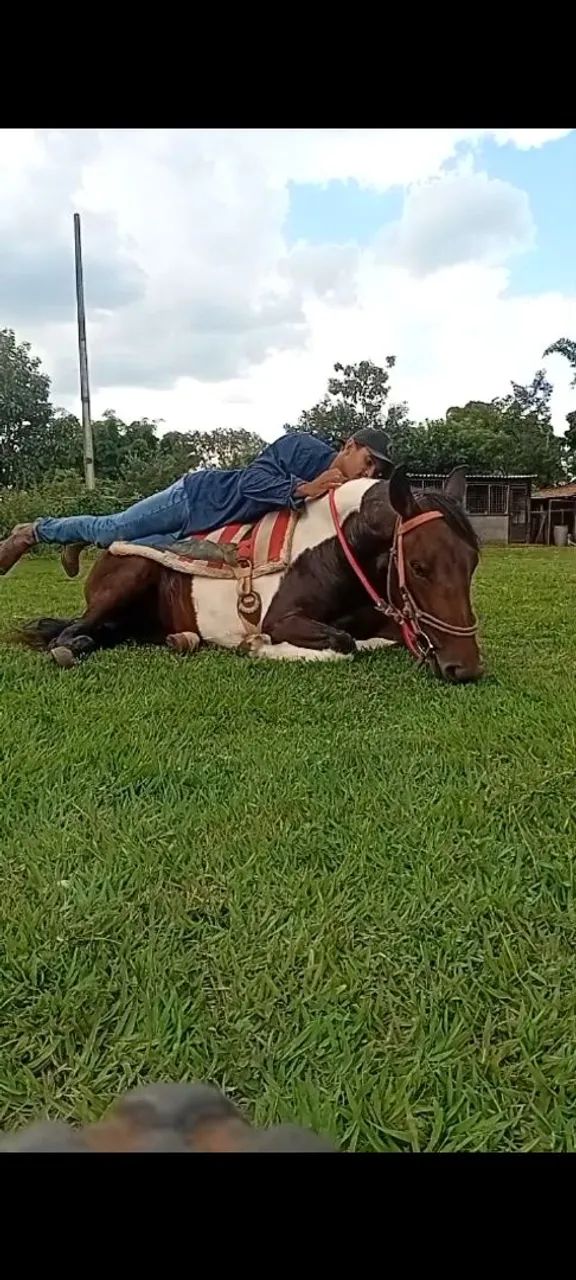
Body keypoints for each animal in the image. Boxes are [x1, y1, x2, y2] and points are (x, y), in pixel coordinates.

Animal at [14, 465, 483, 682]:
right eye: (419, 566)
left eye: (473, 562)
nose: (466, 668)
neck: (337, 549)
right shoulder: (282, 619)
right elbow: (343, 642)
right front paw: (256, 646)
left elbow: (376, 639)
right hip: (126, 581)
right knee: (68, 634)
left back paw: (180, 640)